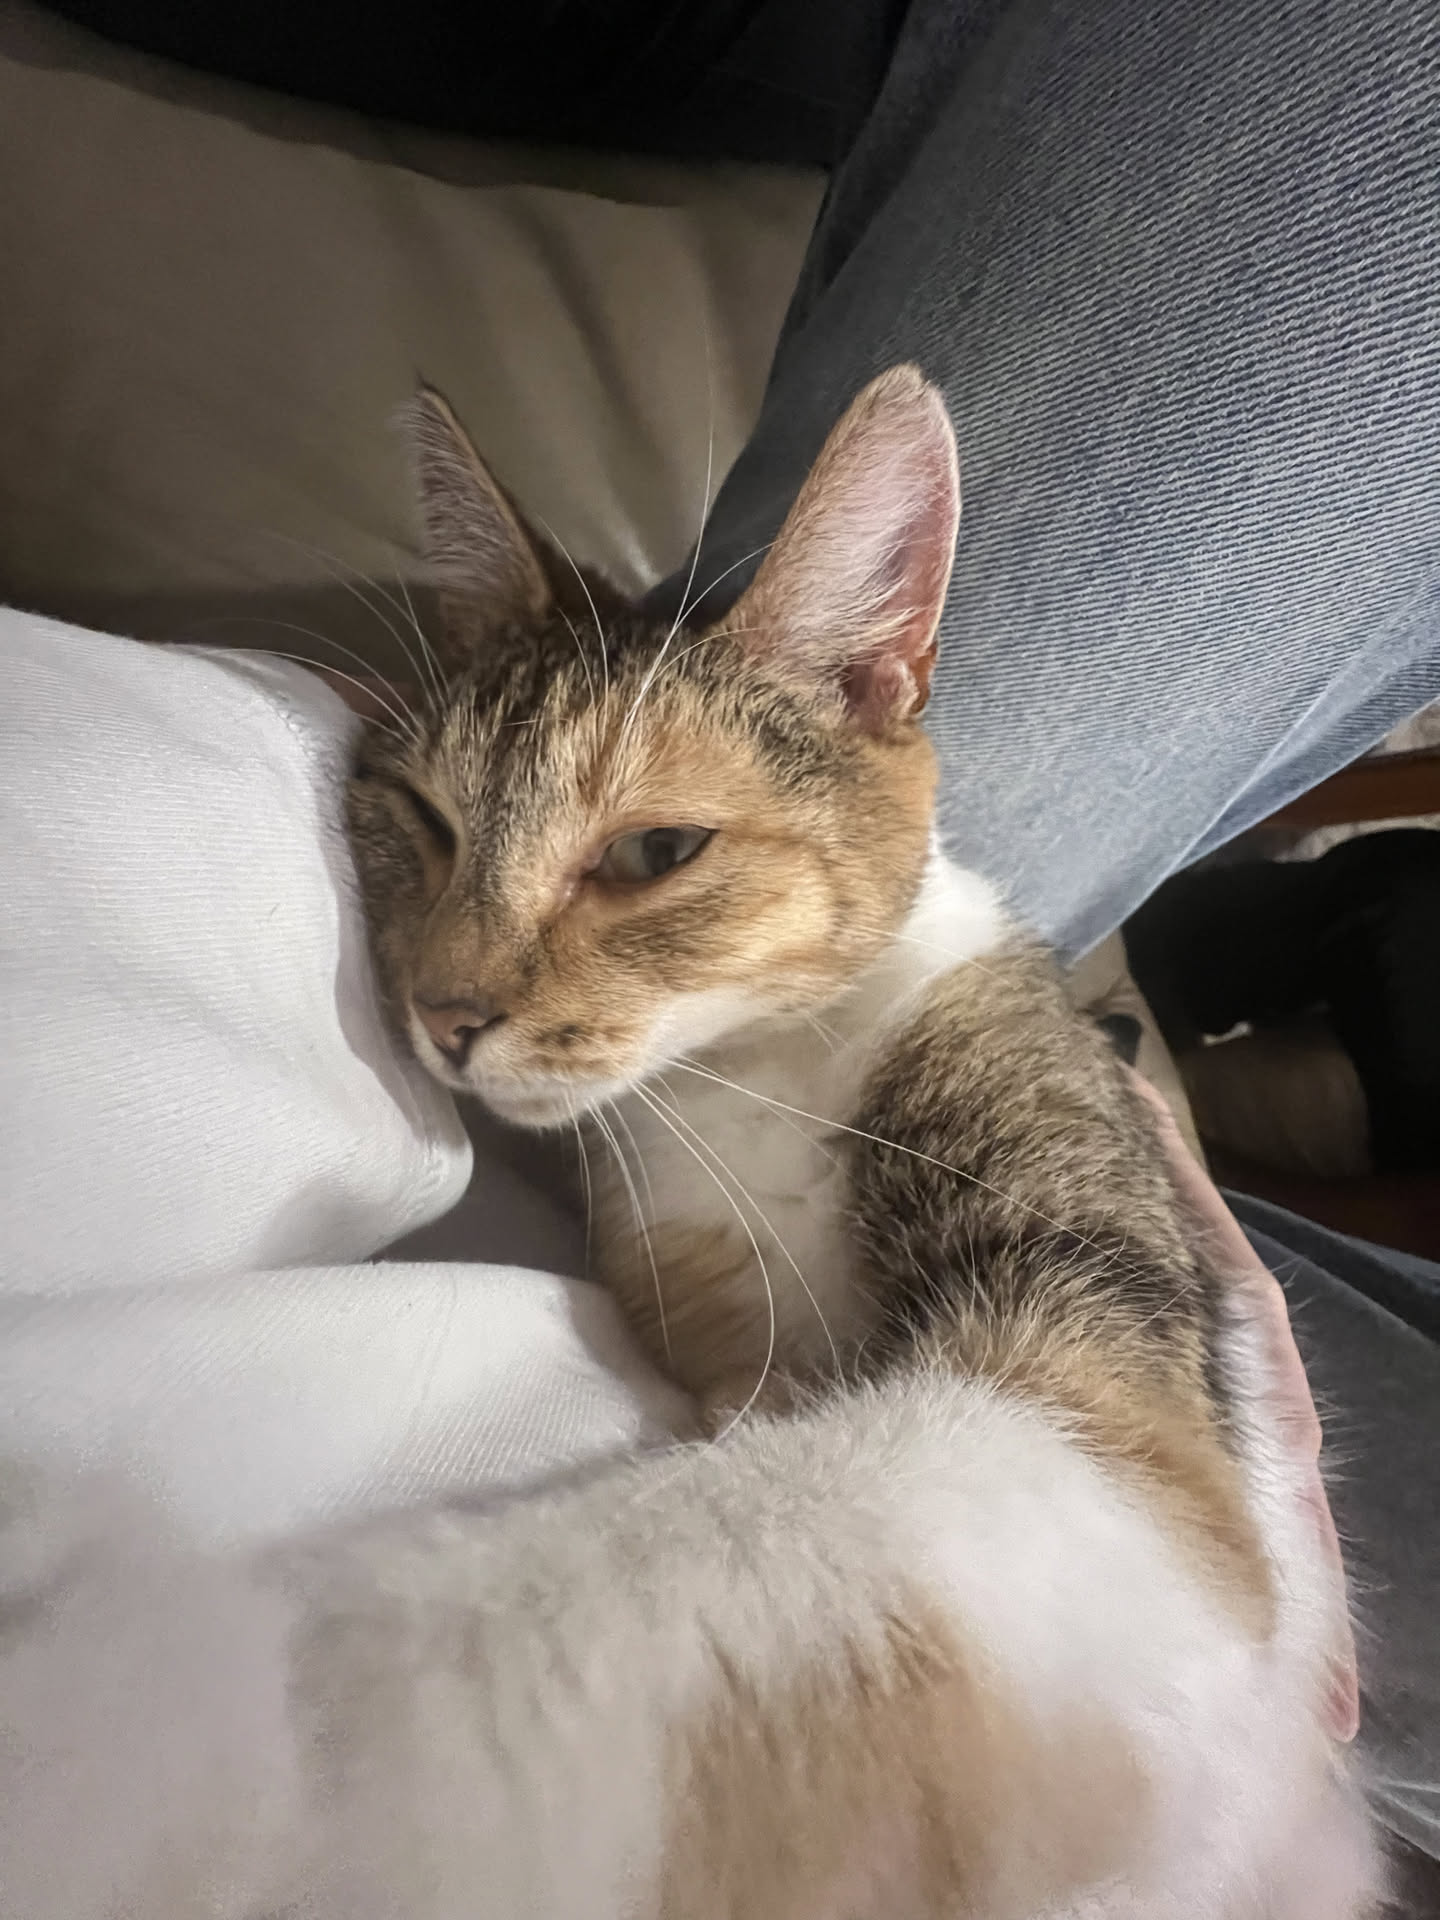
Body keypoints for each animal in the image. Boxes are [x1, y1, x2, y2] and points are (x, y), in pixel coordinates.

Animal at [0, 369, 1378, 1919]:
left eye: (656, 853)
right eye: (422, 817)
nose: (443, 1016)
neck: (754, 1084)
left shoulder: (1116, 1425)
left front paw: (167, 1736)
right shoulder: (706, 1301)